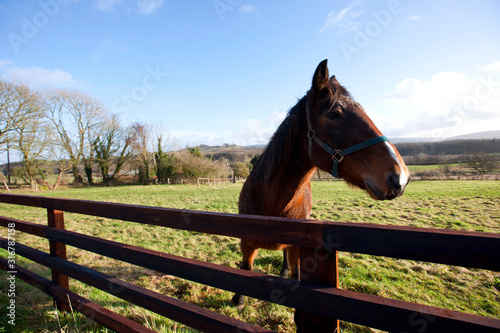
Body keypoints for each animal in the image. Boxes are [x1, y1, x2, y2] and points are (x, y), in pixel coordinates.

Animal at [232, 58, 408, 308]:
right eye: (333, 114)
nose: (399, 176)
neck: (271, 205)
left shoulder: (298, 247)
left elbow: (295, 273)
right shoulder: (246, 244)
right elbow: (244, 270)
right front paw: (238, 300)